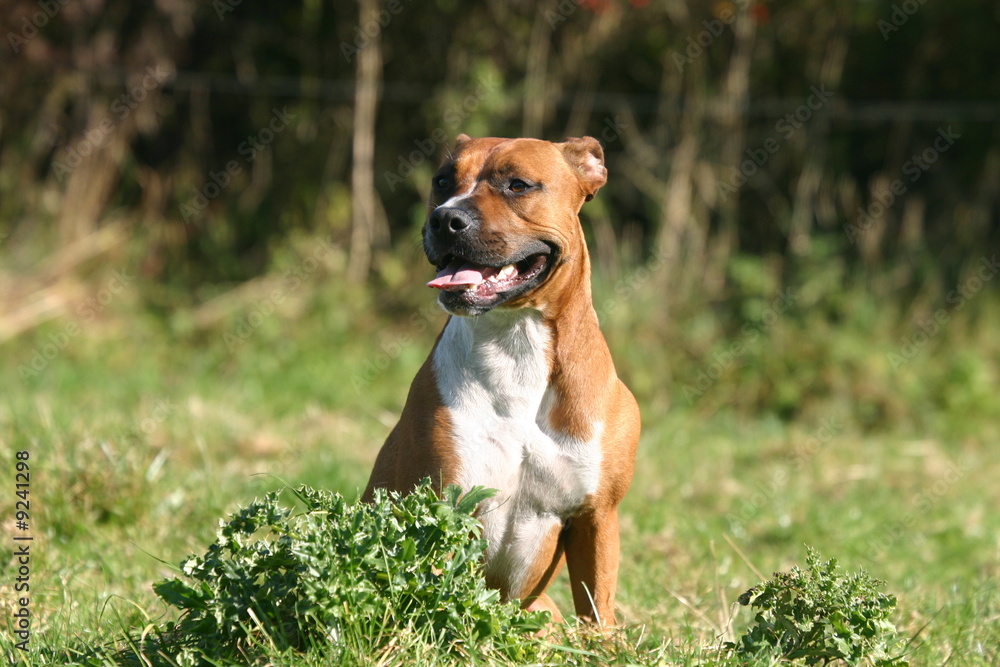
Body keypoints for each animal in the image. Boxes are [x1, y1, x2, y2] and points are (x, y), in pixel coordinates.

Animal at [362, 133, 640, 624]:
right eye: (442, 181)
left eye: (518, 185)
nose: (445, 218)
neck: (515, 343)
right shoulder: (443, 505)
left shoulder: (597, 517)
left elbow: (597, 612)